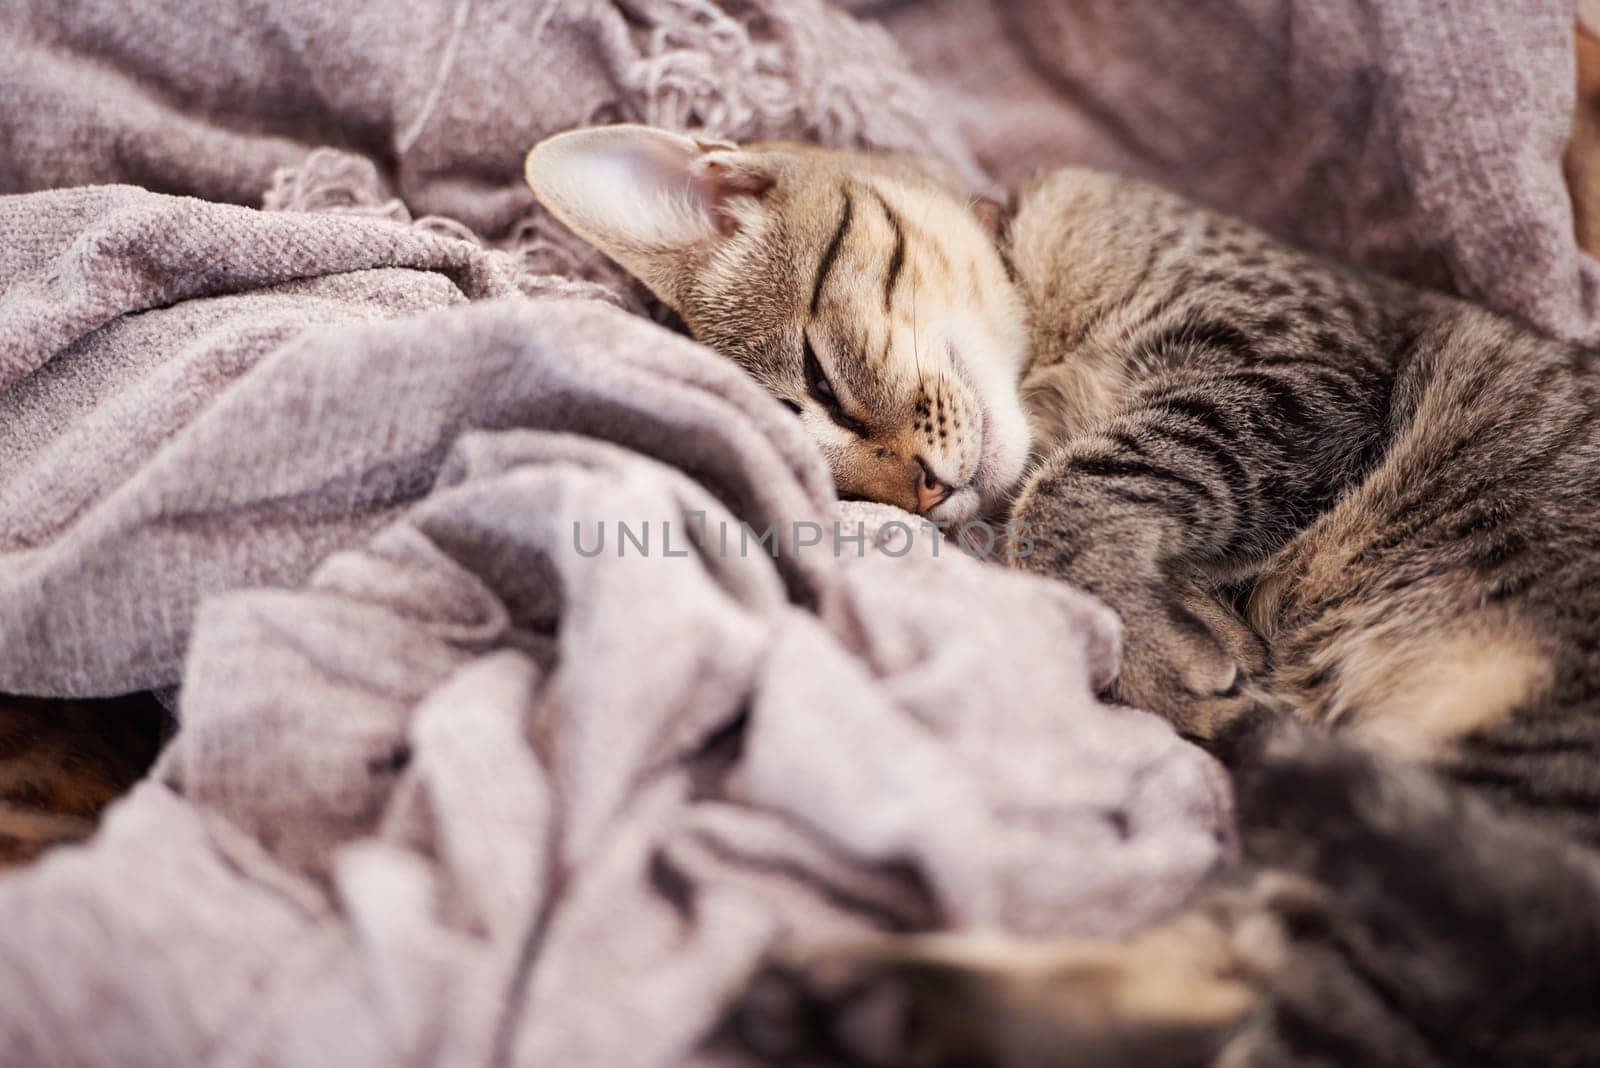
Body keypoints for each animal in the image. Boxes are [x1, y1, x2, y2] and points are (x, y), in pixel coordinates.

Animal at [528, 125, 1600, 1068]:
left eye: (824, 381)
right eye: (846, 494)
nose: (924, 489)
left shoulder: (1289, 358)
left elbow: (1081, 489)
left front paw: (1169, 646)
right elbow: (1064, 510)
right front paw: (1181, 644)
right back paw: (868, 1006)